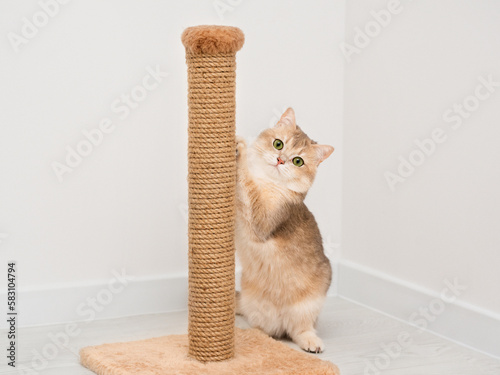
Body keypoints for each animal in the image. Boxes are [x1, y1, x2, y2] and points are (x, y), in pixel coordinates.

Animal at [235, 107, 336, 354]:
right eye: (278, 144)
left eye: (298, 161)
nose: (280, 160)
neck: (266, 180)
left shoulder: (261, 221)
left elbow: (247, 186)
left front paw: (240, 150)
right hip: (256, 306)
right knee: (265, 330)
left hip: (308, 307)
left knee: (298, 330)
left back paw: (311, 343)